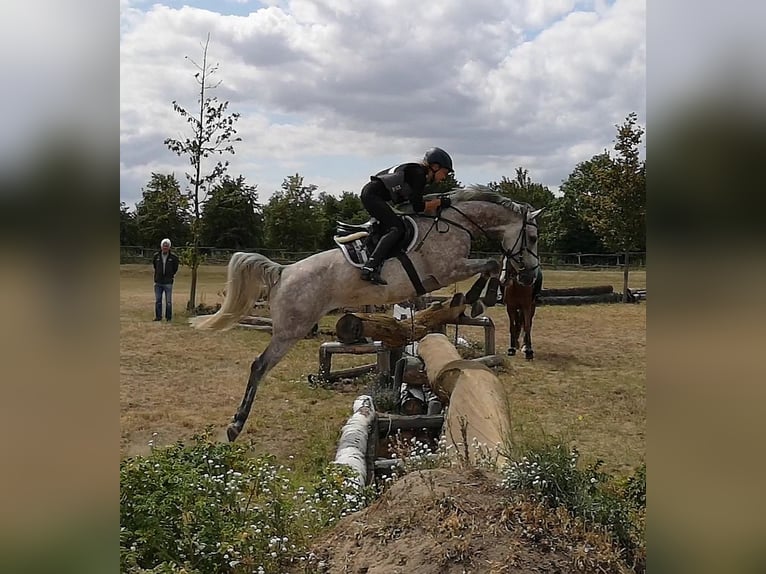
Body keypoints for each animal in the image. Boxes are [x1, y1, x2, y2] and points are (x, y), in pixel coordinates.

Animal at [195, 187, 548, 444]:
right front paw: (478, 298)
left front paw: (476, 298)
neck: (455, 223)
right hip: (291, 329)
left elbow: (489, 264)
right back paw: (235, 426)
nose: (531, 275)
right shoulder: (449, 269)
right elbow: (491, 262)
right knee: (259, 365)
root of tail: (283, 272)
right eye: (531, 238)